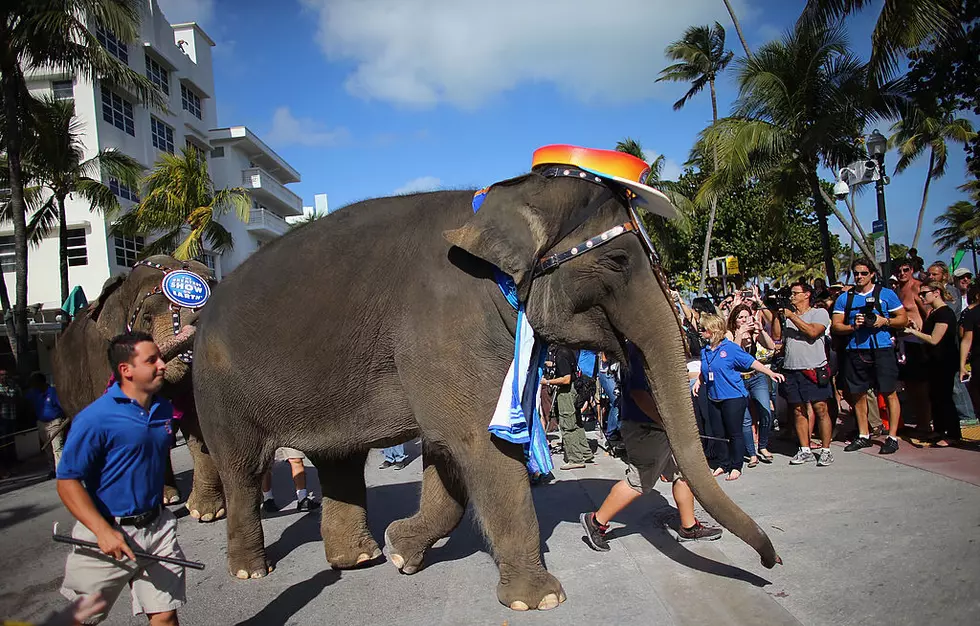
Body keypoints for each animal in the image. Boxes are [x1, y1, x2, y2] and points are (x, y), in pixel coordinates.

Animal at [191, 161, 780, 608]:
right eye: (617, 260)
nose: (773, 562)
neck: (501, 200)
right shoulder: (442, 325)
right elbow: (480, 445)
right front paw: (540, 600)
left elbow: (449, 460)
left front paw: (402, 551)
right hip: (217, 387)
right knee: (241, 468)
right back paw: (251, 570)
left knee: (340, 460)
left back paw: (358, 558)